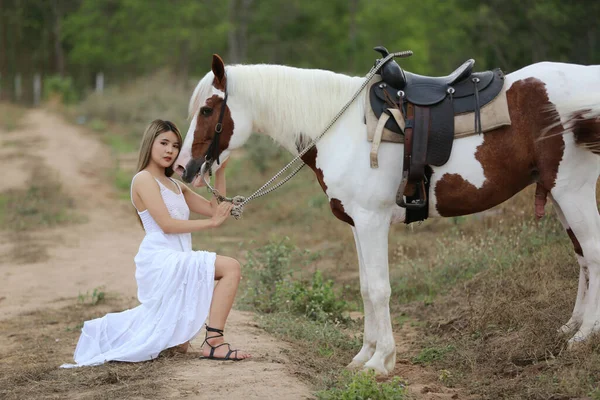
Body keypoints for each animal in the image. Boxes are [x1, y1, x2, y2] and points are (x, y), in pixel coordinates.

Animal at [173, 54, 600, 376]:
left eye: (208, 109)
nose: (183, 168)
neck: (342, 128)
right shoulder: (358, 226)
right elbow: (365, 289)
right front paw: (364, 355)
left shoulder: (372, 222)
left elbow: (379, 289)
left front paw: (381, 362)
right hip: (558, 196)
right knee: (582, 257)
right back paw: (570, 328)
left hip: (573, 192)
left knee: (593, 254)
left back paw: (584, 337)